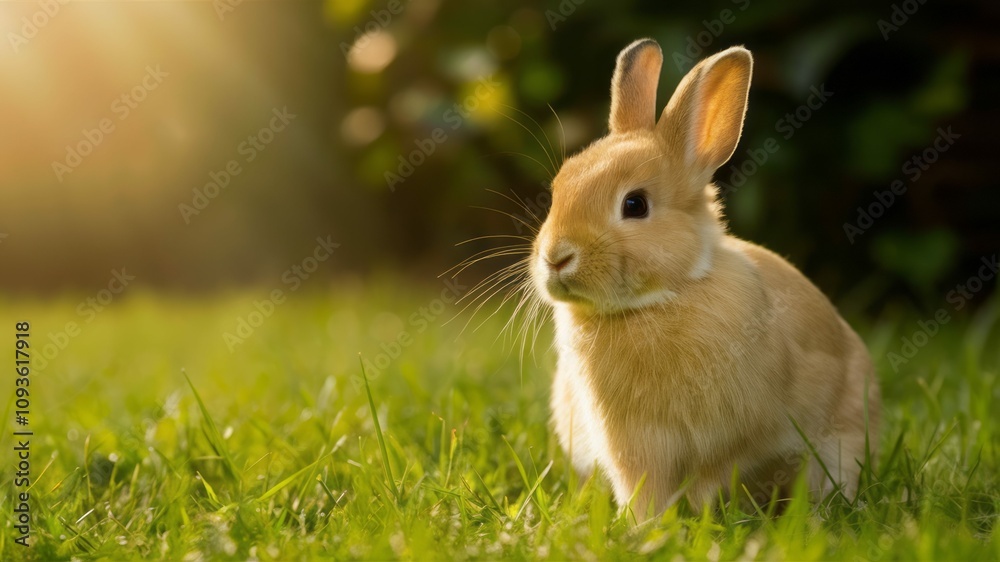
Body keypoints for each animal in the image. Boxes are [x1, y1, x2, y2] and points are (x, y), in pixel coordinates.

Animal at [531, 39, 879, 518]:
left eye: (635, 205)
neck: (665, 299)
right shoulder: (635, 445)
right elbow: (644, 487)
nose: (556, 257)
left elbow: (715, 474)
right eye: (558, 189)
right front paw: (645, 525)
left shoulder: (736, 437)